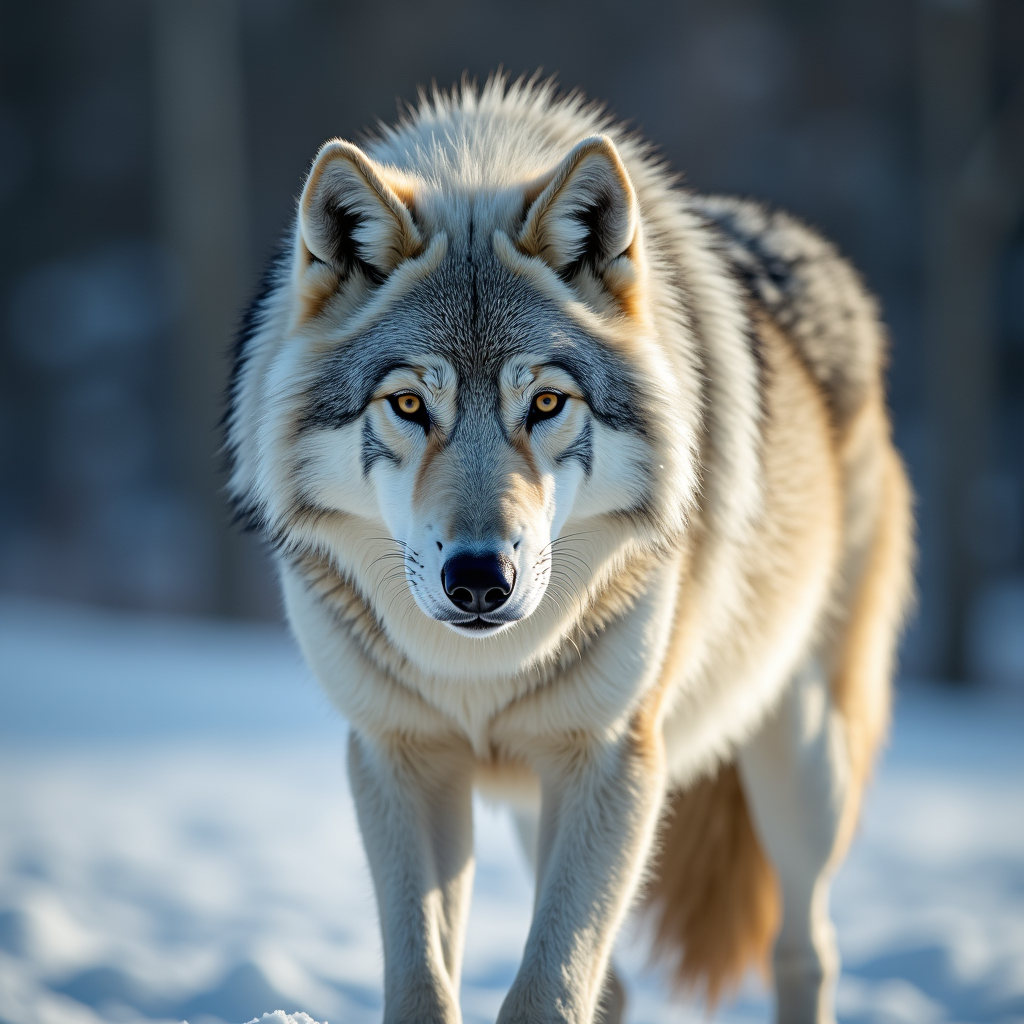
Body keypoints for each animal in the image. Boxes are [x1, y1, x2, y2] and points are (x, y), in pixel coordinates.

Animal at [226, 78, 913, 1024]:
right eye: (409, 406)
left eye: (547, 402)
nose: (481, 579)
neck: (476, 673)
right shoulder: (399, 759)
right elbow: (425, 982)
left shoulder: (613, 758)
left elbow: (548, 989)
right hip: (531, 797)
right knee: (617, 981)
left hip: (799, 765)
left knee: (806, 949)